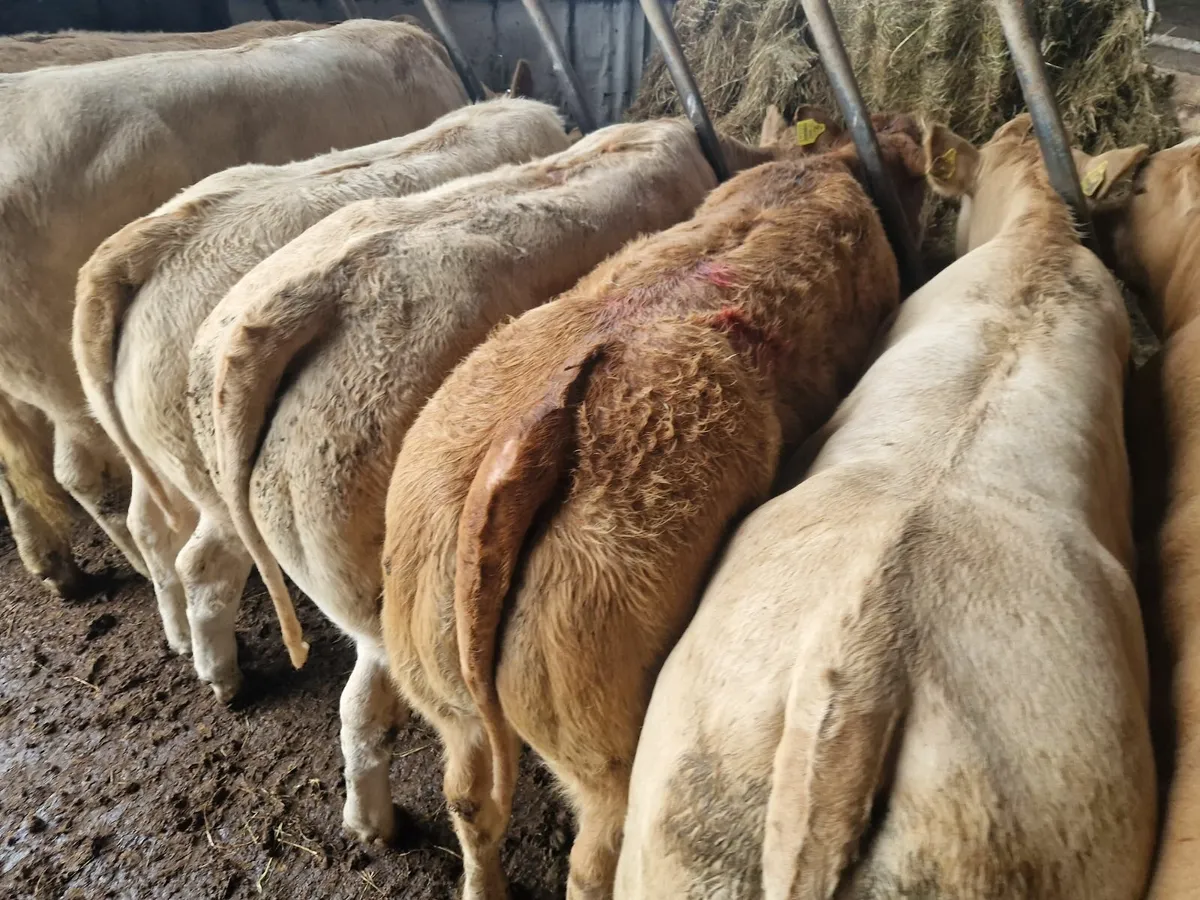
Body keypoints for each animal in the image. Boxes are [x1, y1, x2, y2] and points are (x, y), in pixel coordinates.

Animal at [379, 114, 921, 900]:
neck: (813, 171)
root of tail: (519, 446)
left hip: (441, 689)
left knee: (467, 799)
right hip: (604, 743)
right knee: (590, 860)